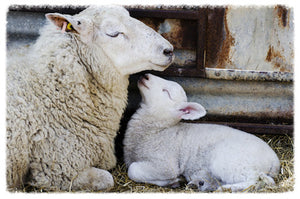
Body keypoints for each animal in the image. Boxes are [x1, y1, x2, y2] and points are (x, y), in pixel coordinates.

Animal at [123, 74, 280, 192]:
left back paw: (227, 189)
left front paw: (173, 180)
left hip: (231, 163)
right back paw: (201, 183)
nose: (145, 76)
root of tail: (275, 161)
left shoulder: (165, 164)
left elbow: (133, 169)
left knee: (257, 180)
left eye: (166, 92)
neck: (157, 130)